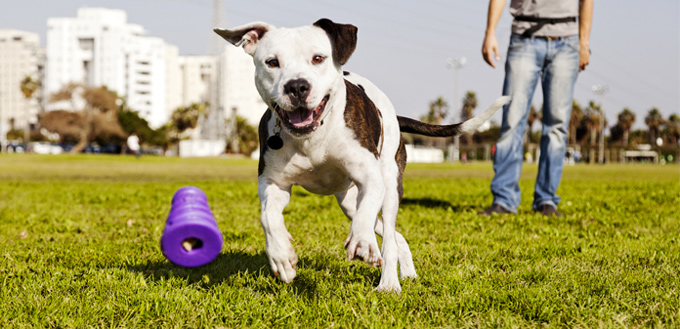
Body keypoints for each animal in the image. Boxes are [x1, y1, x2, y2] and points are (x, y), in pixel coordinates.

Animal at [215, 18, 508, 290]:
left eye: (318, 58)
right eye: (272, 62)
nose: (297, 86)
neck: (312, 136)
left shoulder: (371, 178)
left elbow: (366, 217)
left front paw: (363, 243)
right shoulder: (273, 184)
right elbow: (268, 217)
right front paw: (282, 257)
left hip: (390, 186)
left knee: (387, 233)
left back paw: (389, 282)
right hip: (348, 201)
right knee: (394, 235)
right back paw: (406, 272)